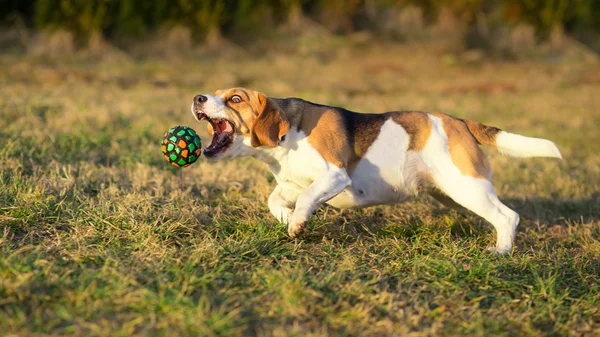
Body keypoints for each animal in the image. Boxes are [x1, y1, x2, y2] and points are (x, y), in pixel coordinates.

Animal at [192, 86, 564, 252]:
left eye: (235, 99)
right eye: (215, 93)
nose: (198, 98)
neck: (286, 137)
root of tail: (459, 122)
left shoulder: (334, 175)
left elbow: (308, 198)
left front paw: (297, 222)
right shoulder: (291, 184)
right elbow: (276, 201)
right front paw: (290, 221)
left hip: (467, 188)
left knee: (508, 217)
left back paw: (500, 251)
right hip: (454, 194)